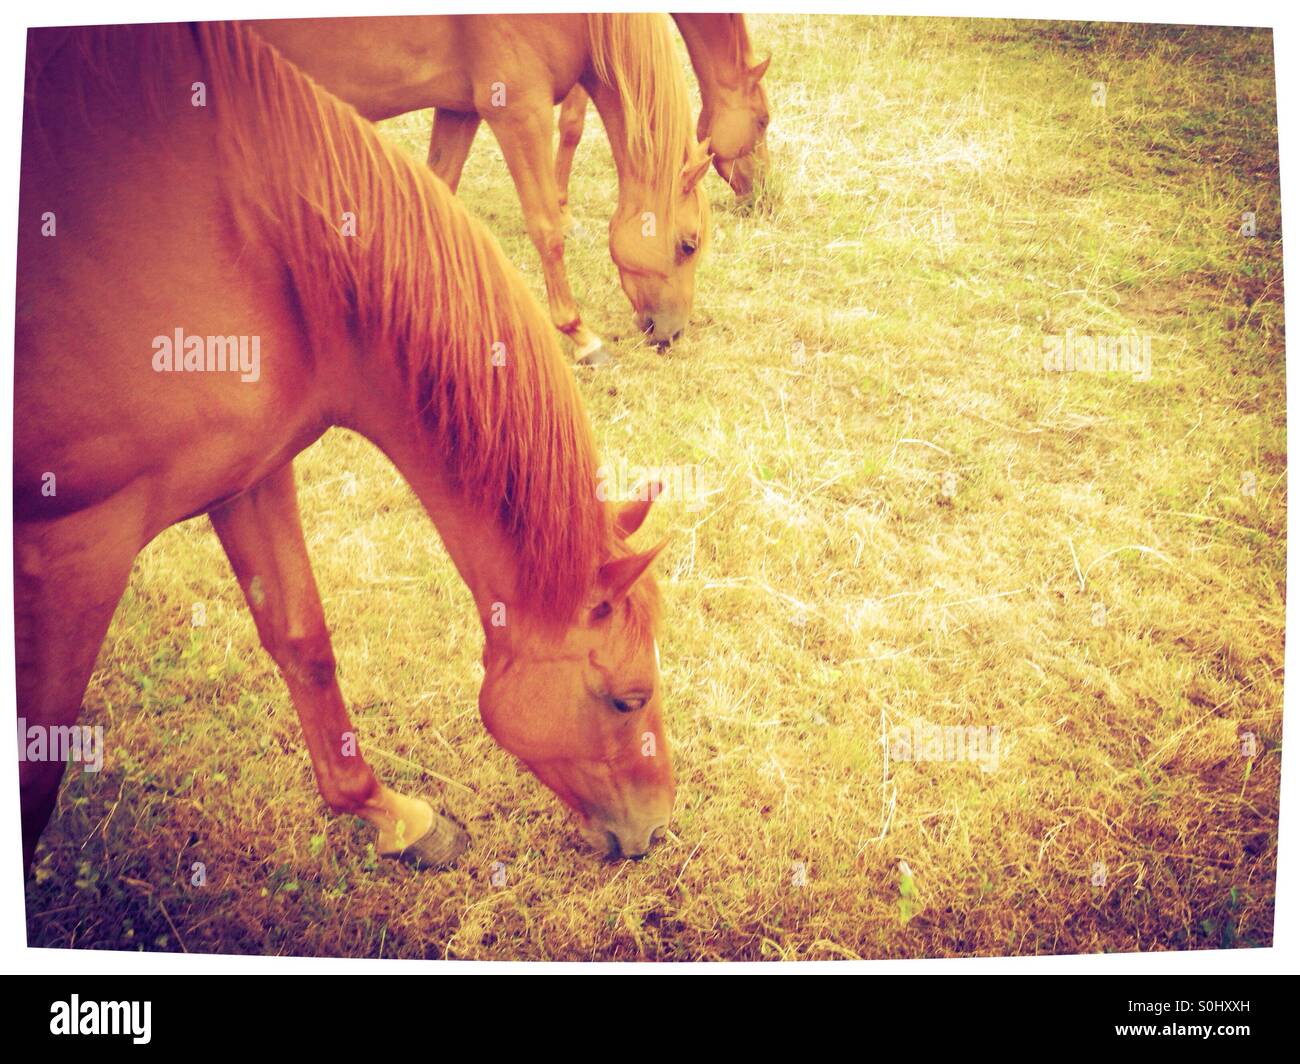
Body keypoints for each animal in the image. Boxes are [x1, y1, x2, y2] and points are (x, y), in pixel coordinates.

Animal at [252, 14, 713, 367]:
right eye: (687, 245)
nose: (671, 333)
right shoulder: (519, 111)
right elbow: (547, 231)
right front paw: (582, 337)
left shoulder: (460, 109)